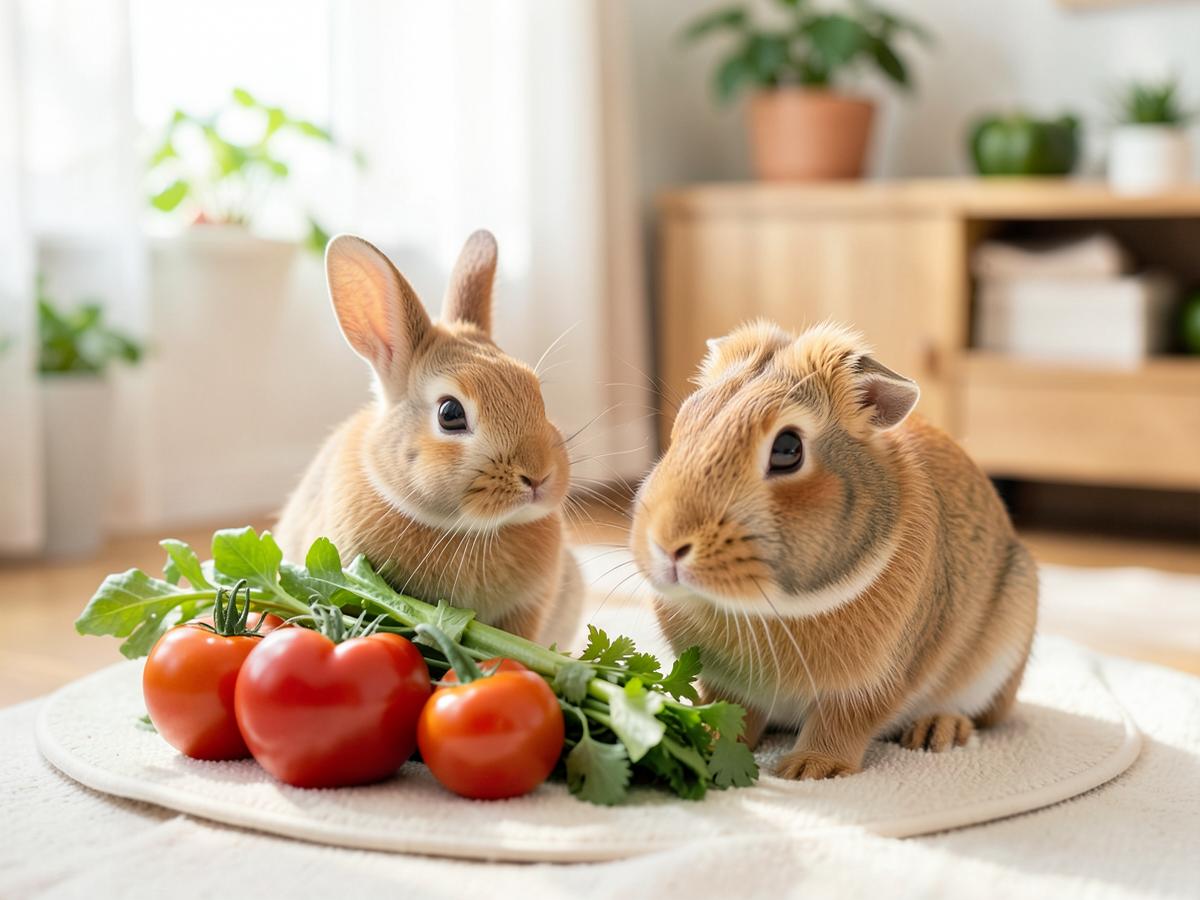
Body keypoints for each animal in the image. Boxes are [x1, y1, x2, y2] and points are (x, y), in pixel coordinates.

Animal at [631, 320, 1038, 780]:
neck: (769, 607)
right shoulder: (730, 685)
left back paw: (938, 730)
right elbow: (735, 713)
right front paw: (710, 742)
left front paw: (810, 770)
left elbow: (841, 723)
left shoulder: (870, 686)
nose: (667, 545)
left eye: (788, 449)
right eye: (682, 425)